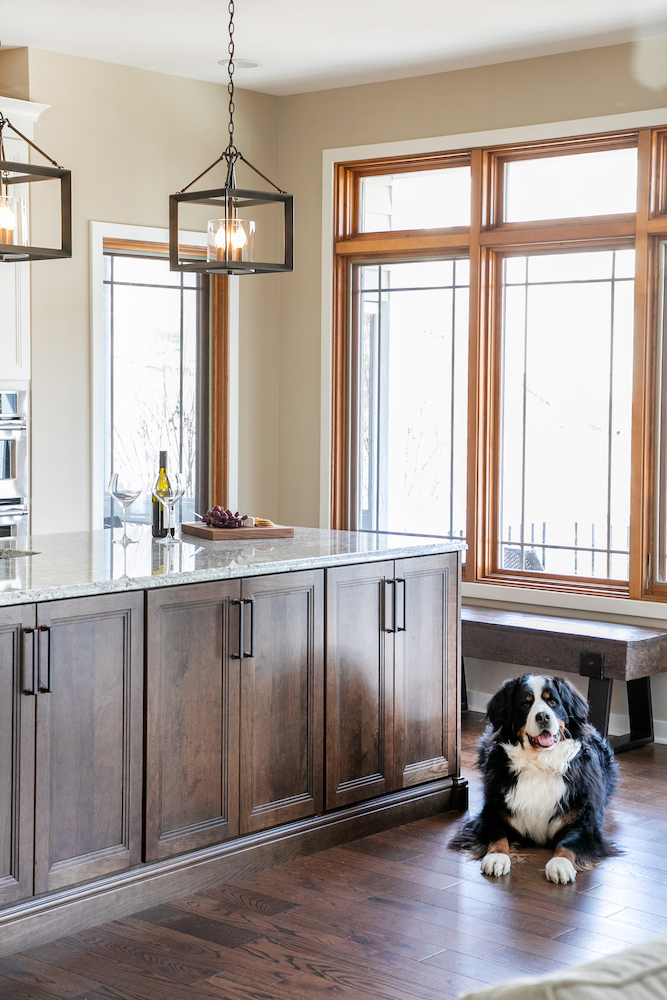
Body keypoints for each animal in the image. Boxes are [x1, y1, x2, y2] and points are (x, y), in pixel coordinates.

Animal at [452, 672, 620, 884]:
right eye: (526, 703)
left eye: (553, 702)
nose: (543, 716)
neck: (540, 763)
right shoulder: (493, 811)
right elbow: (497, 834)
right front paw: (496, 857)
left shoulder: (584, 823)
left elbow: (569, 843)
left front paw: (560, 864)